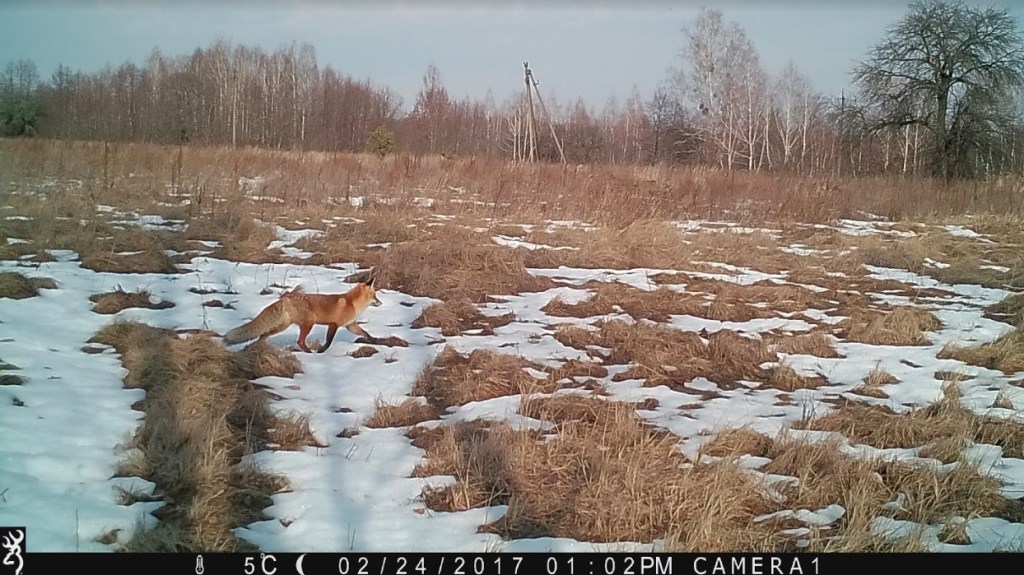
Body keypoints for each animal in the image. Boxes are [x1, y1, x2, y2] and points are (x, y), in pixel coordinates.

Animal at [223, 277, 382, 353]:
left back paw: (257, 348)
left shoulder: (350, 325)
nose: (381, 302)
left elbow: (365, 333)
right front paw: (321, 351)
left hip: (283, 326)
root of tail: (286, 297)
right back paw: (309, 353)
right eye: (375, 296)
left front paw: (375, 340)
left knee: (262, 335)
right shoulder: (334, 324)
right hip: (308, 323)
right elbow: (329, 342)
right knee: (299, 341)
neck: (352, 303)